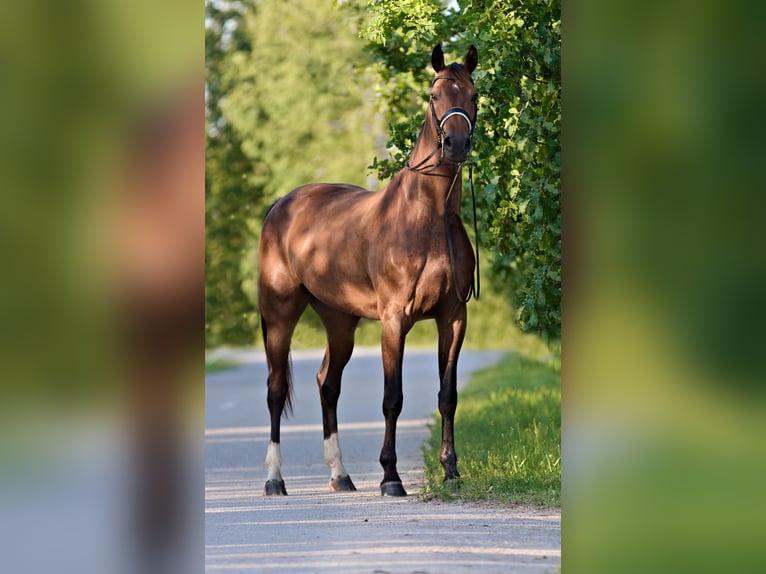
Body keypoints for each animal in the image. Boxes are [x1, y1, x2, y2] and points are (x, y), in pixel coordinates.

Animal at [260, 45, 484, 498]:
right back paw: (275, 480)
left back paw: (340, 476)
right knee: (276, 391)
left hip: (339, 321)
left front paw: (451, 472)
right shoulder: (395, 319)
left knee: (328, 385)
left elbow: (448, 396)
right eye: (433, 96)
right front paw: (390, 477)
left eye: (473, 95)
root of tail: (280, 205)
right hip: (279, 314)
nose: (455, 143)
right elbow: (392, 398)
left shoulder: (454, 318)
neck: (428, 219)